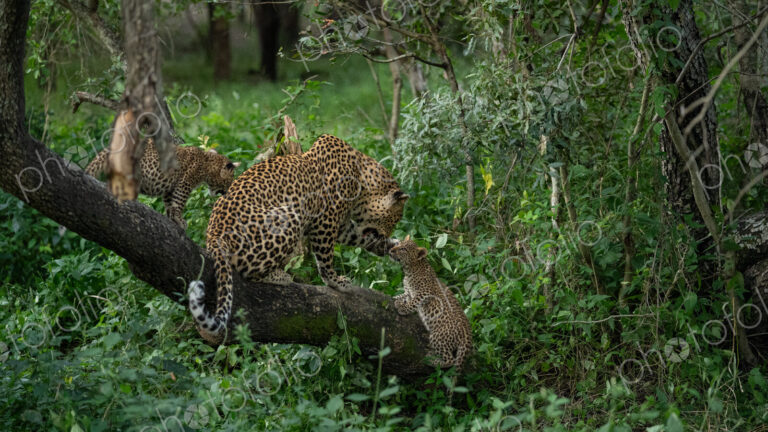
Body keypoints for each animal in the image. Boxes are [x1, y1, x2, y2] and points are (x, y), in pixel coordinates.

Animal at [86, 139, 240, 229]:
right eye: (230, 180)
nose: (227, 191)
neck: (207, 163)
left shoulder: (170, 187)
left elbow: (169, 203)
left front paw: (172, 218)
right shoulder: (184, 183)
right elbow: (179, 202)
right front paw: (180, 220)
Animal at [188, 134, 409, 344]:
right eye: (395, 218)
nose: (388, 233)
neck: (361, 180)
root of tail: (214, 235)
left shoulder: (341, 225)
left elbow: (358, 237)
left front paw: (389, 246)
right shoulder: (326, 221)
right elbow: (326, 259)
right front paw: (336, 282)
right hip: (287, 217)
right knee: (247, 271)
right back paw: (280, 276)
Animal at [389, 236, 473, 370]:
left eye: (403, 249)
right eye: (398, 244)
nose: (391, 250)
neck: (409, 269)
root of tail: (467, 337)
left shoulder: (425, 292)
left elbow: (414, 302)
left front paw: (402, 308)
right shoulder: (408, 292)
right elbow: (401, 296)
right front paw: (395, 299)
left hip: (437, 337)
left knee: (450, 360)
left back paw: (430, 360)